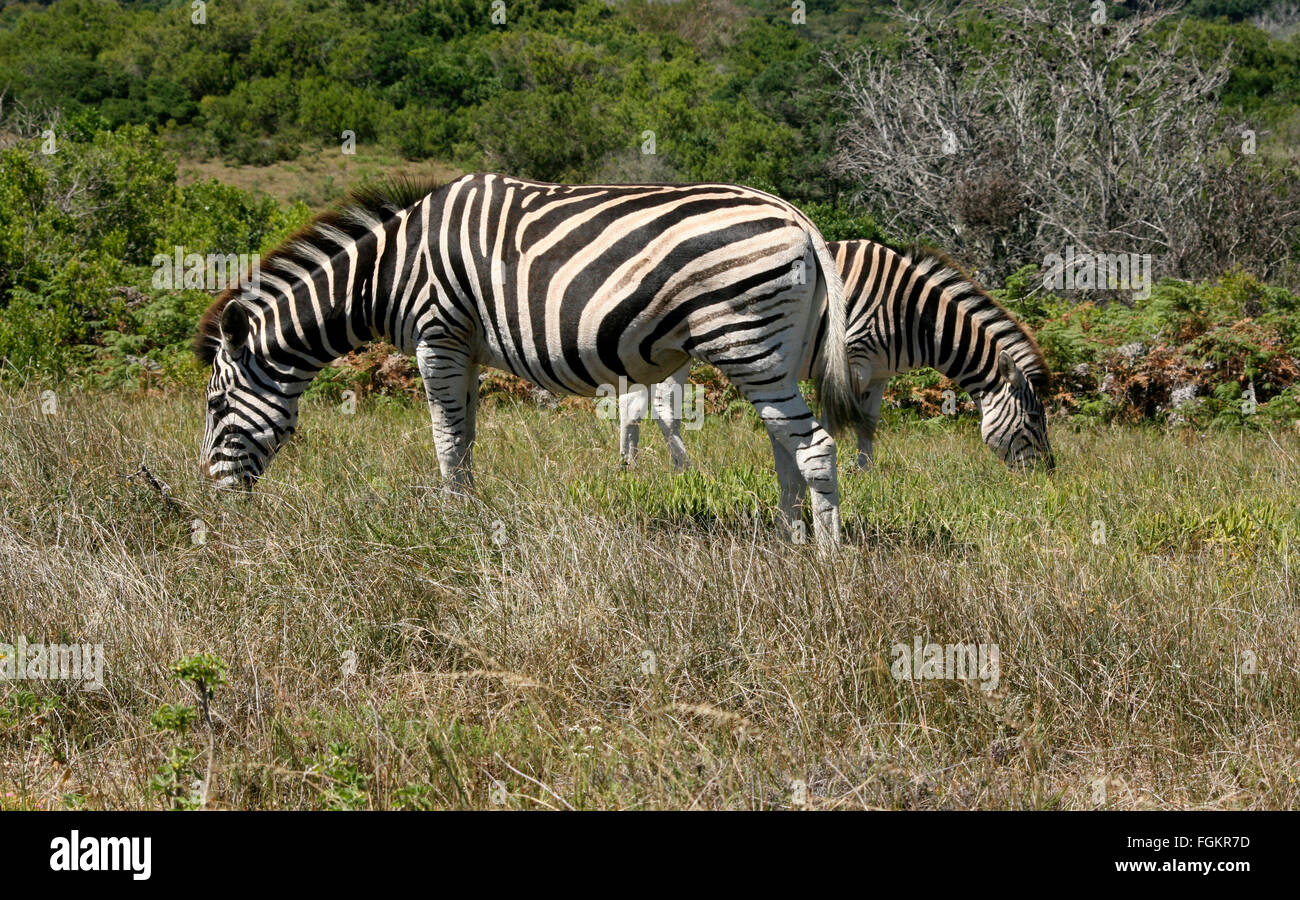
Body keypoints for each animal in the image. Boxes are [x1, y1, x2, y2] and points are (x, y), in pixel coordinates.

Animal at [195, 172, 852, 543]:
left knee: (814, 446)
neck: (383, 272)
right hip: (775, 349)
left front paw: (450, 523)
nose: (213, 505)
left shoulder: (439, 334)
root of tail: (797, 217)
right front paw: (469, 516)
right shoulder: (463, 347)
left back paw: (824, 560)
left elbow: (446, 438)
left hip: (745, 341)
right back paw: (789, 540)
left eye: (216, 404)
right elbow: (465, 438)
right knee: (785, 443)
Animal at [618, 239, 1055, 473]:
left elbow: (869, 423)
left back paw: (631, 467)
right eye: (1035, 418)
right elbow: (834, 417)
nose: (1048, 475)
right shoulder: (851, 359)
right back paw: (685, 468)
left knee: (635, 406)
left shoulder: (879, 372)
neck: (912, 314)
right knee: (662, 406)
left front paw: (866, 472)